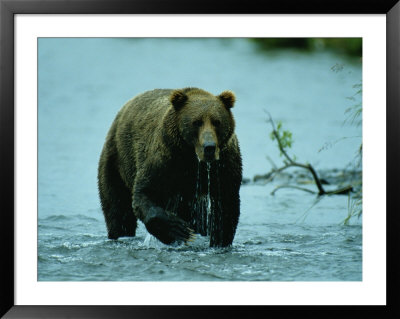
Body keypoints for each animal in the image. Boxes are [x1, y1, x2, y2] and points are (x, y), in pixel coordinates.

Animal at [98, 87, 242, 248]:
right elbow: (145, 192)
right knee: (117, 208)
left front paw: (219, 241)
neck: (193, 159)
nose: (209, 147)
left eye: (217, 122)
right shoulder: (166, 160)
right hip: (116, 160)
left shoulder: (223, 167)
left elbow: (225, 207)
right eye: (196, 122)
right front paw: (179, 230)